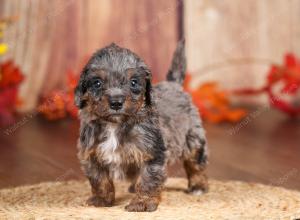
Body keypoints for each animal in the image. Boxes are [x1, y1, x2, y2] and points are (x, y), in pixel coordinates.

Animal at [74, 40, 209, 212]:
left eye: (134, 82)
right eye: (97, 82)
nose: (116, 102)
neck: (115, 124)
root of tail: (173, 84)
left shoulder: (152, 154)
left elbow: (148, 179)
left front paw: (142, 202)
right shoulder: (91, 155)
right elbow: (99, 179)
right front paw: (101, 199)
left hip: (193, 138)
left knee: (196, 164)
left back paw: (198, 186)